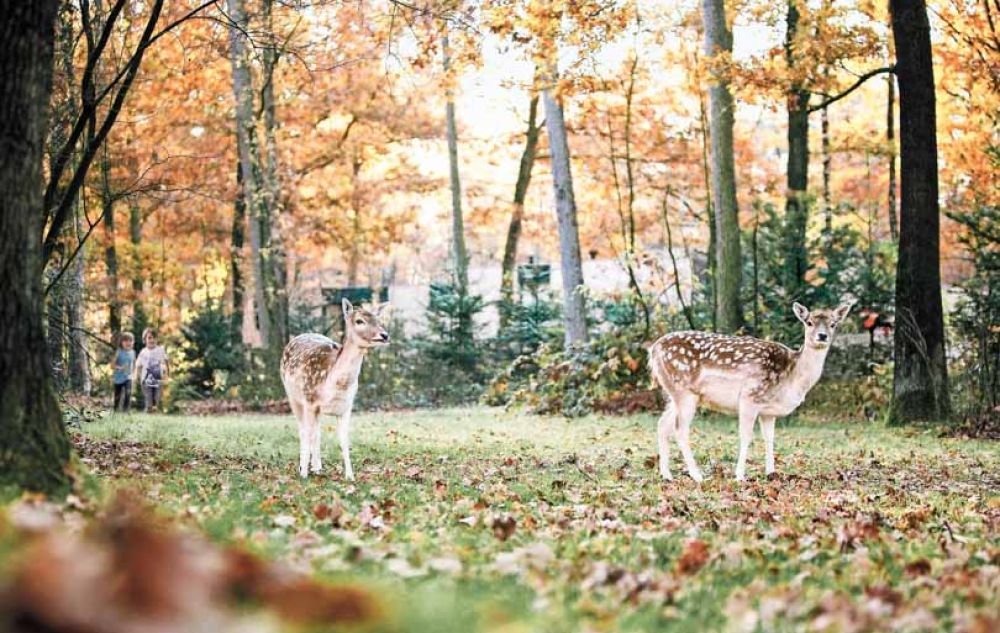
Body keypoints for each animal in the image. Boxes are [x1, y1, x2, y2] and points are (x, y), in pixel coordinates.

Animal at [284, 298, 392, 476]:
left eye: (379, 320)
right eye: (359, 321)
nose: (384, 335)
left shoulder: (346, 407)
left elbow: (344, 441)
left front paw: (350, 476)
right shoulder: (309, 400)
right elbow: (307, 433)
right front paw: (303, 474)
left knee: (317, 432)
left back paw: (317, 467)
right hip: (293, 396)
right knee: (303, 430)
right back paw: (304, 467)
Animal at [652, 298, 856, 482]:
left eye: (833, 324)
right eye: (809, 322)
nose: (822, 336)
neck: (791, 377)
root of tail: (653, 350)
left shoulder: (768, 411)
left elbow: (770, 438)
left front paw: (771, 473)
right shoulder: (750, 396)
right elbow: (746, 436)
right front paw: (739, 476)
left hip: (674, 393)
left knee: (662, 425)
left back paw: (666, 475)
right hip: (684, 390)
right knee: (679, 429)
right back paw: (697, 476)